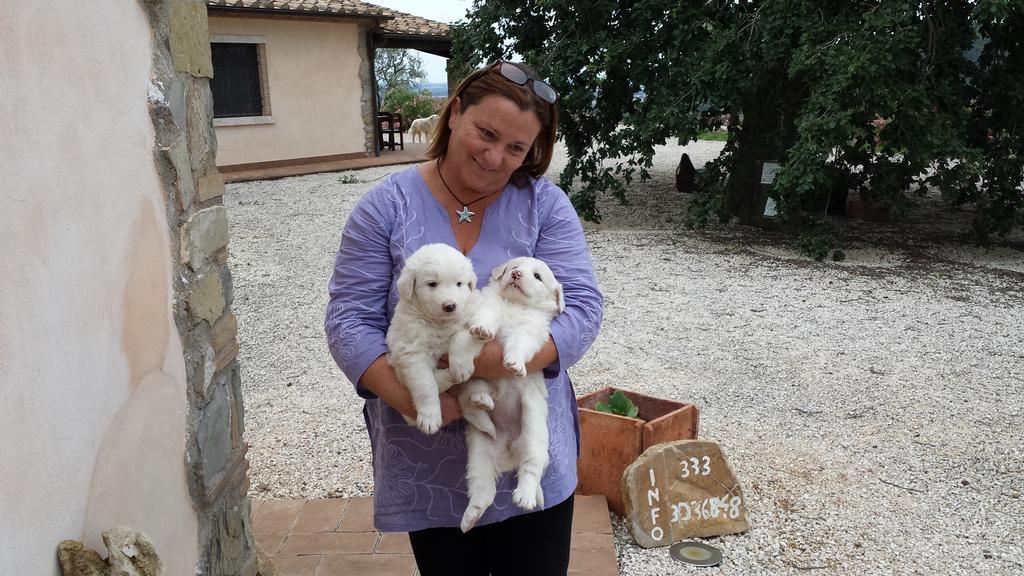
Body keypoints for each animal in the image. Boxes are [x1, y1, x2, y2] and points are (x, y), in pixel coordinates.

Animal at [385, 239, 477, 432]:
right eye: (432, 284)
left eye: (459, 283)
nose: (450, 306)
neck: (438, 323)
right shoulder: (411, 353)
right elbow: (425, 385)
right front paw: (430, 417)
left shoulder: (471, 318)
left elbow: (460, 339)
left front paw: (461, 367)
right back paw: (448, 376)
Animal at [456, 255, 569, 528]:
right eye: (513, 267)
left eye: (537, 276)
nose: (516, 274)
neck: (514, 306)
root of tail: (508, 451)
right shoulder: (488, 306)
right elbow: (487, 316)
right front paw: (483, 329)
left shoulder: (530, 332)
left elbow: (519, 344)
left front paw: (515, 364)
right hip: (479, 453)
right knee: (483, 490)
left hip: (534, 439)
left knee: (530, 470)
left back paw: (525, 497)